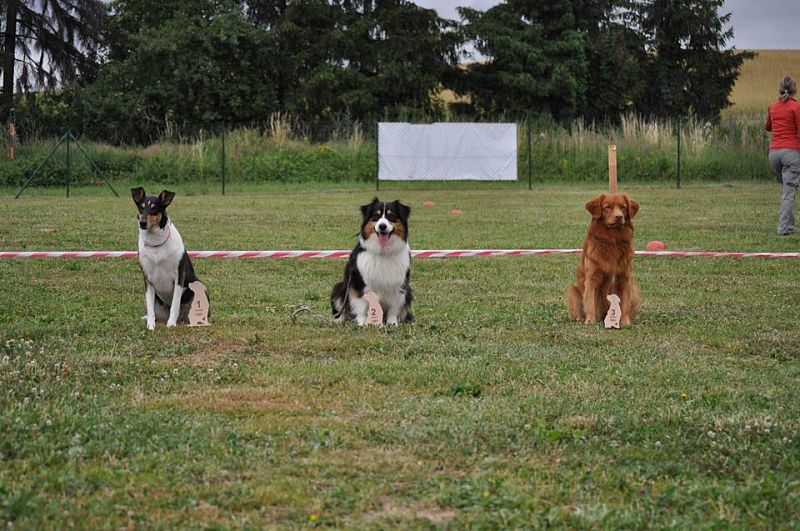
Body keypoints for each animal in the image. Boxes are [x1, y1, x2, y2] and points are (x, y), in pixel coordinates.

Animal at [131, 186, 206, 328]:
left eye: (154, 208)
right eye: (141, 207)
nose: (142, 223)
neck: (156, 243)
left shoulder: (179, 276)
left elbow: (175, 304)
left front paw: (171, 324)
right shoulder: (147, 278)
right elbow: (150, 308)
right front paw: (150, 326)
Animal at [330, 198, 412, 326]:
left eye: (391, 216)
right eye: (375, 216)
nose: (382, 226)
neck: (383, 252)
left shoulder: (399, 285)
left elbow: (394, 307)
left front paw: (392, 323)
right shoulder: (360, 283)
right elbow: (362, 304)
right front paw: (363, 322)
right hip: (339, 288)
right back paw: (339, 320)